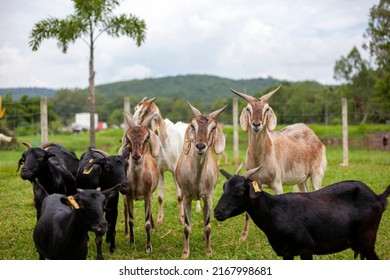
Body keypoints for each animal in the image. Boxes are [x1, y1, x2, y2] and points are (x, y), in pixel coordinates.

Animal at [121, 112, 159, 253]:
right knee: (125, 211)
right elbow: (131, 219)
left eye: (147, 137)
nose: (136, 157)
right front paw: (132, 242)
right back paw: (126, 233)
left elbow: (146, 222)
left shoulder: (148, 195)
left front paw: (148, 247)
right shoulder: (128, 196)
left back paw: (154, 228)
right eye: (128, 138)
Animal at [175, 101, 227, 260]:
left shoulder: (208, 196)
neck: (197, 179)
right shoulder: (186, 197)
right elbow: (186, 227)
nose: (200, 146)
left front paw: (209, 251)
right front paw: (185, 253)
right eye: (192, 125)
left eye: (213, 127)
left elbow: (208, 226)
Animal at [213, 166, 390, 260]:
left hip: (367, 238)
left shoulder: (306, 248)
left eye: (241, 190)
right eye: (224, 187)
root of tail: (378, 197)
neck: (274, 211)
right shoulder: (286, 252)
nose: (217, 212)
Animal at [230, 84, 328, 240]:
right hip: (302, 179)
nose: (256, 124)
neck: (261, 159)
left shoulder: (277, 184)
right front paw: (243, 237)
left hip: (316, 174)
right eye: (248, 109)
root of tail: (311, 132)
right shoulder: (254, 183)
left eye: (266, 109)